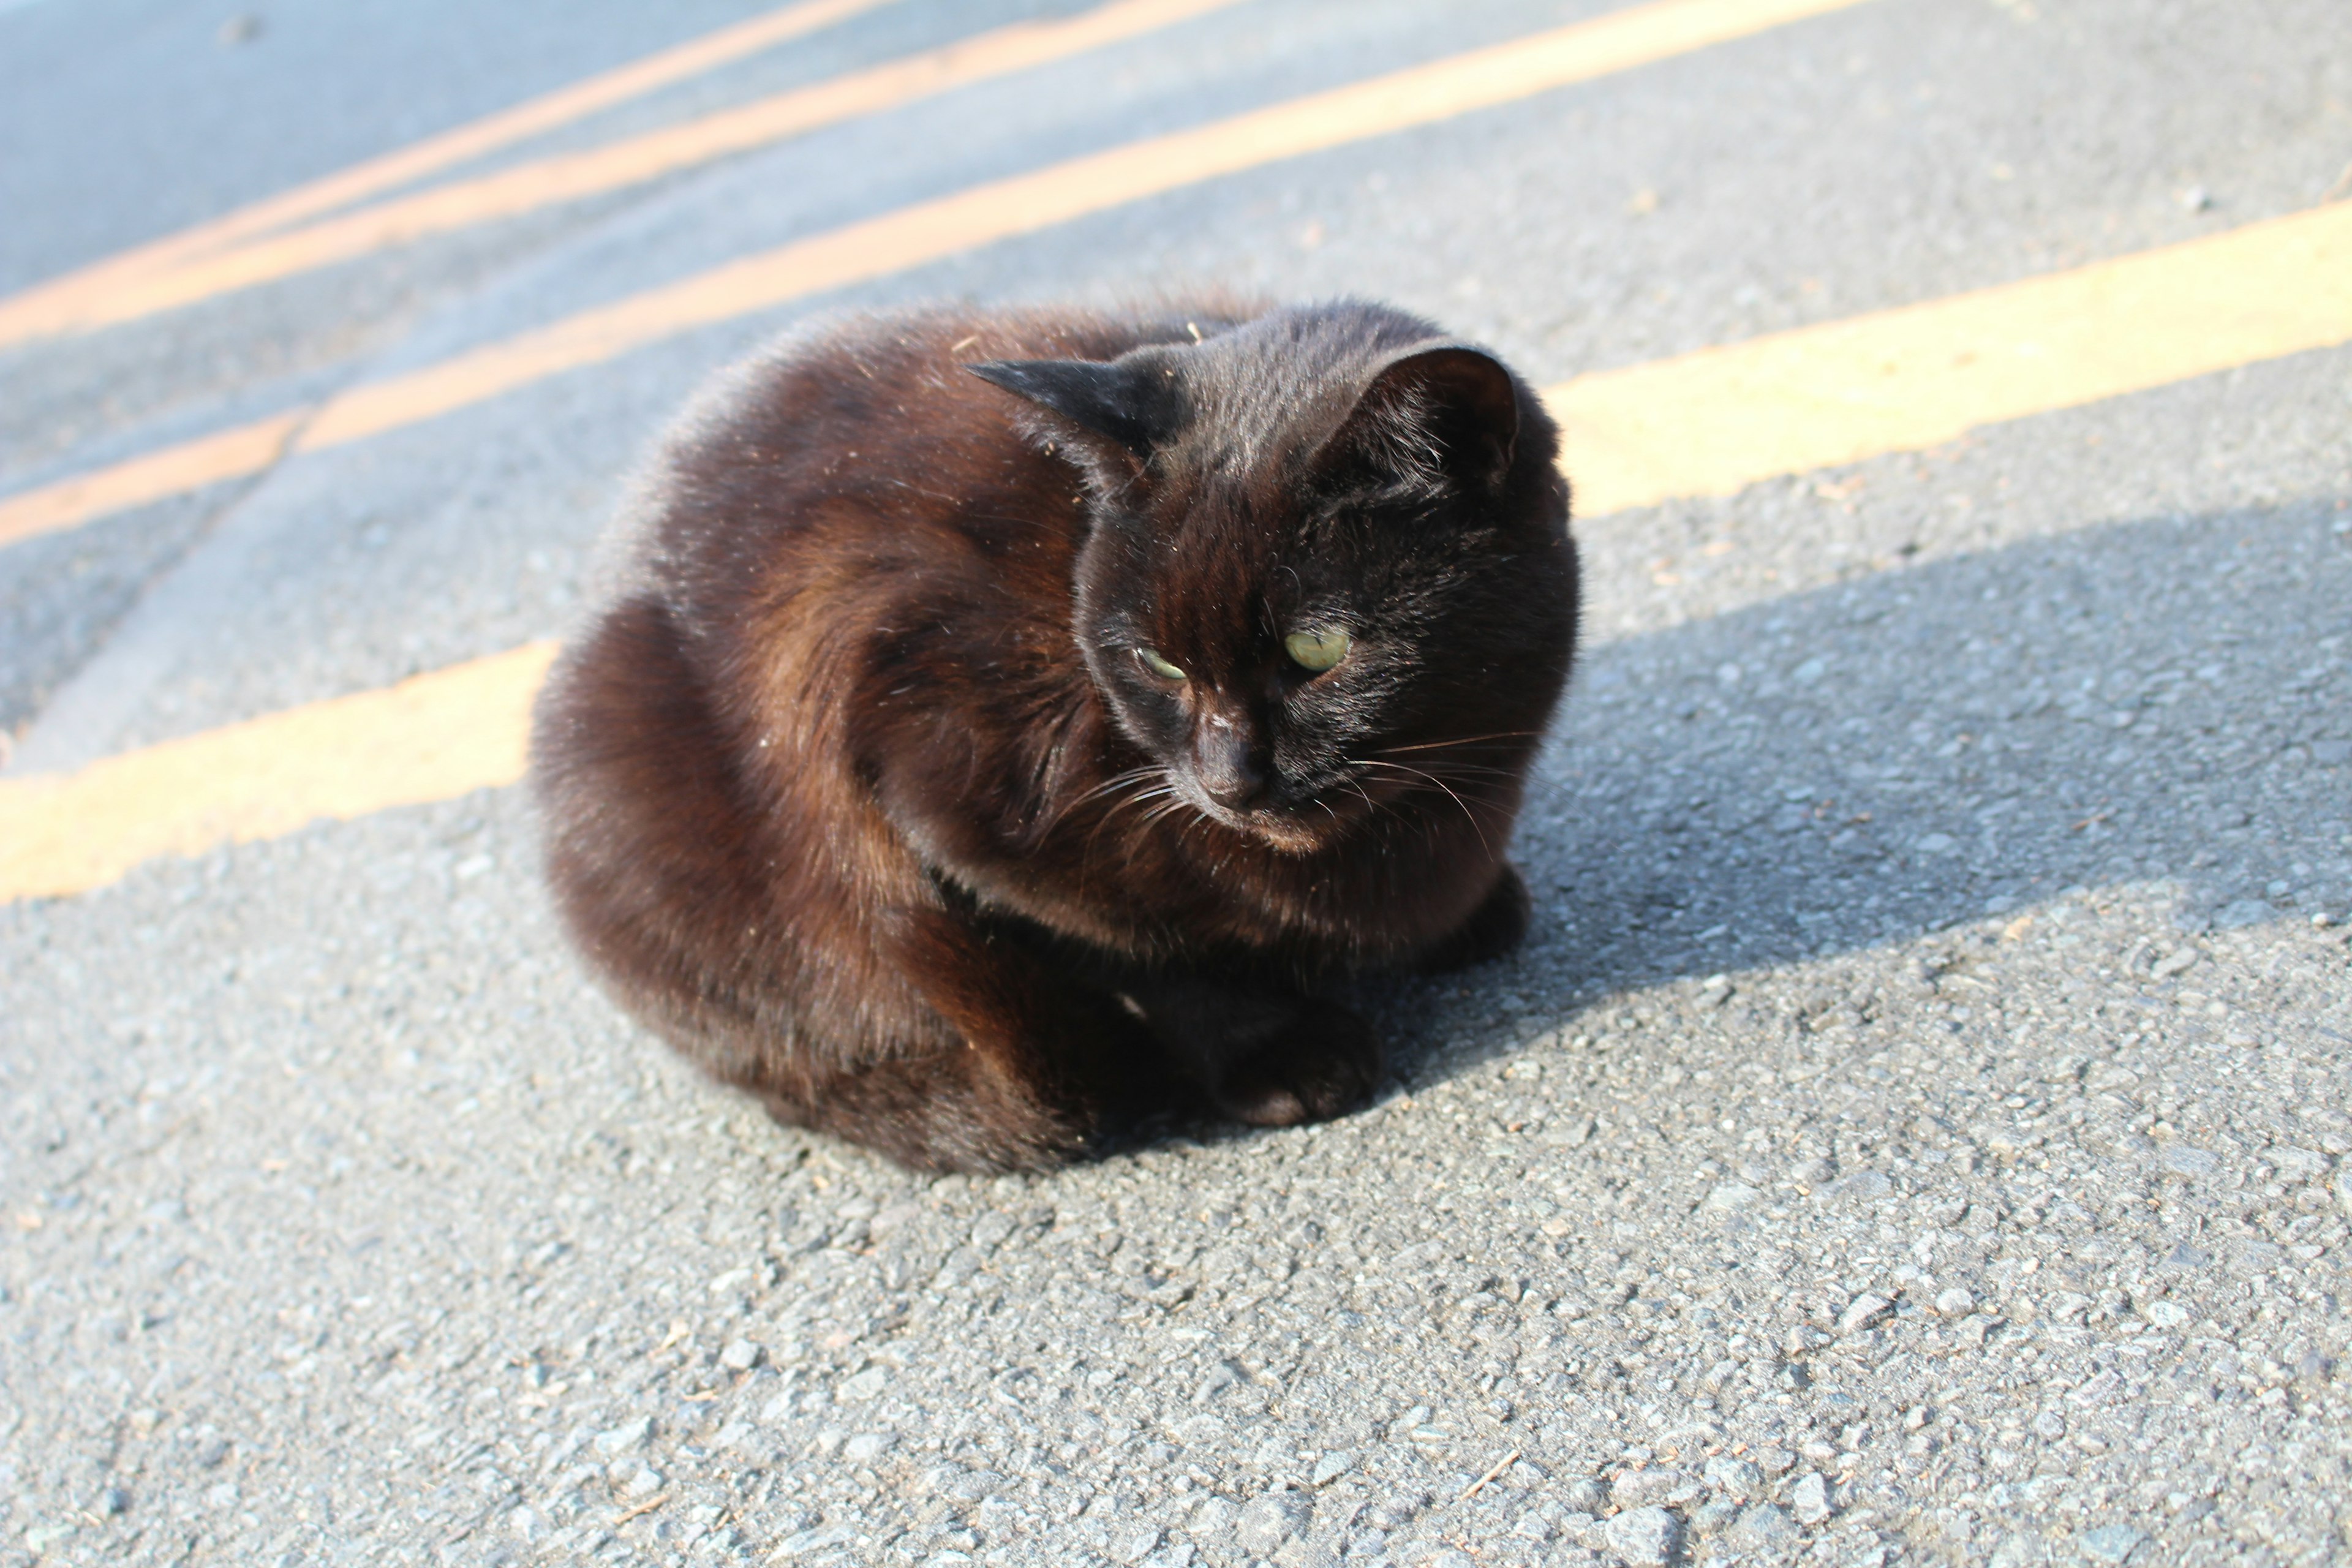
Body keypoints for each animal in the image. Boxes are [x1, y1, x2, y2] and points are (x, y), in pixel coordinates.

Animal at [533, 301, 1580, 1170]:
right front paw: (1277, 1050)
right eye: (1157, 663)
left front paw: (1470, 912)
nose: (1226, 778)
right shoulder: (927, 763)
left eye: (1316, 649)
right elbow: (1142, 955)